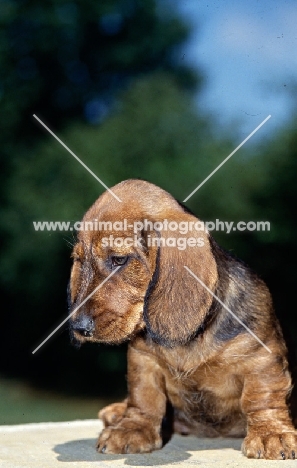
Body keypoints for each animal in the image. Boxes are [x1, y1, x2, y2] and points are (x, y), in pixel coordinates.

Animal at [68, 180, 294, 460]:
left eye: (119, 259)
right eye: (79, 260)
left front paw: (271, 433)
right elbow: (144, 396)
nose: (78, 327)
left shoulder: (261, 356)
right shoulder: (143, 359)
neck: (189, 341)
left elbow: (262, 396)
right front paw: (133, 428)